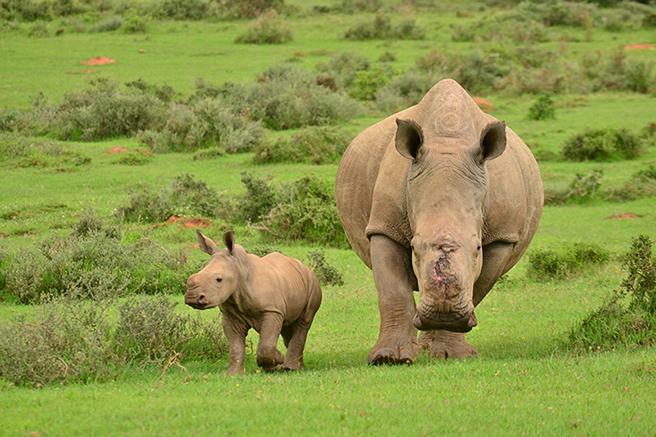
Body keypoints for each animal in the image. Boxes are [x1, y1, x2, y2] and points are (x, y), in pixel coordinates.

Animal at [184, 230, 322, 372]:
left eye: (219, 279)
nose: (192, 297)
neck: (239, 269)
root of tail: (304, 267)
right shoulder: (231, 315)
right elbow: (236, 346)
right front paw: (233, 373)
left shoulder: (271, 310)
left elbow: (265, 345)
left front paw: (272, 364)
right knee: (286, 326)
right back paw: (296, 366)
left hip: (312, 283)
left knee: (304, 321)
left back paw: (290, 368)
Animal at [336, 79, 540, 364]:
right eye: (414, 247)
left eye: (478, 248)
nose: (444, 313)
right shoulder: (383, 227)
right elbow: (392, 291)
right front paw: (388, 357)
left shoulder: (502, 235)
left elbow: (478, 287)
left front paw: (454, 354)